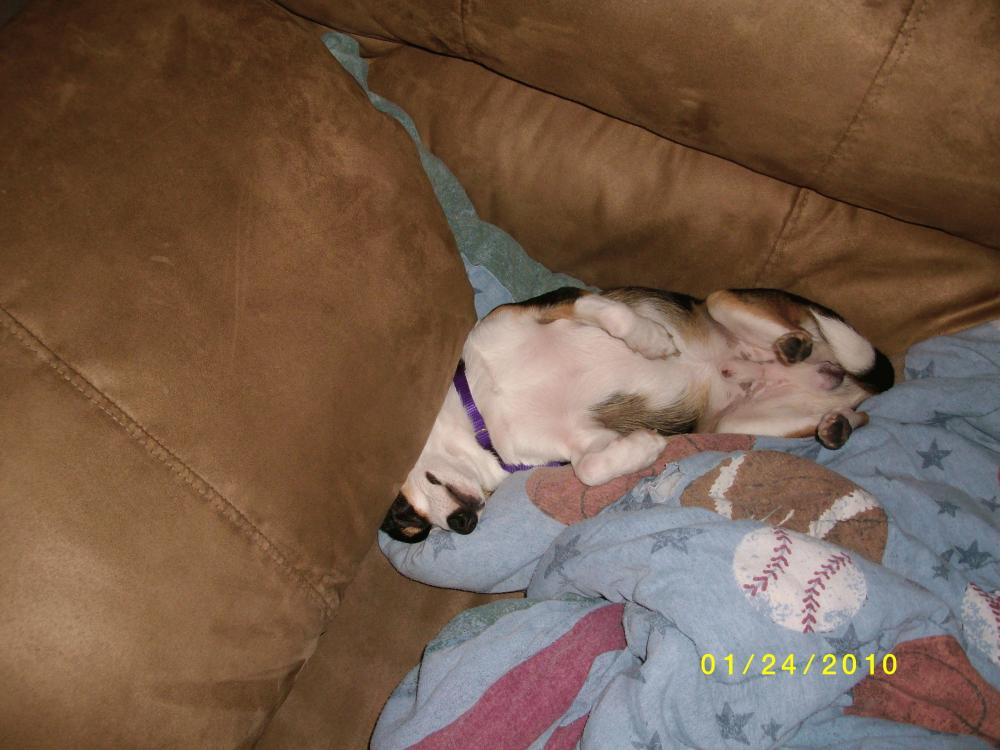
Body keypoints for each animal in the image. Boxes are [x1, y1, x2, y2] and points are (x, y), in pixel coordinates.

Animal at [381, 287, 893, 543]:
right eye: (414, 530)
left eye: (401, 512)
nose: (460, 526)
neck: (483, 415)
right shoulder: (578, 440)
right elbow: (590, 469)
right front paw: (646, 445)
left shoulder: (554, 305)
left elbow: (605, 311)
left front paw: (650, 341)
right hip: (745, 422)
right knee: (854, 414)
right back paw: (835, 424)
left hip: (723, 299)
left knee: (803, 334)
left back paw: (792, 347)